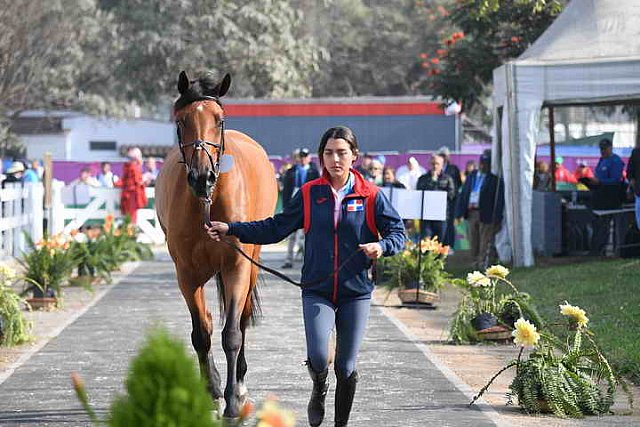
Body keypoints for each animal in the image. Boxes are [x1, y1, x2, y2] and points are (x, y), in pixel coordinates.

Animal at [155, 71, 278, 418]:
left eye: (219, 120)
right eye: (181, 121)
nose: (202, 177)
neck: (206, 204)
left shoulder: (236, 266)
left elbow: (233, 334)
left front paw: (234, 400)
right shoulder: (186, 274)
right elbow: (202, 333)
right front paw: (211, 390)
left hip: (250, 265)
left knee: (243, 318)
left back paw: (241, 381)